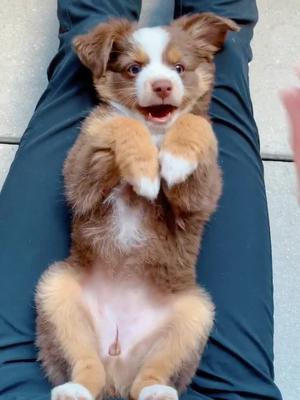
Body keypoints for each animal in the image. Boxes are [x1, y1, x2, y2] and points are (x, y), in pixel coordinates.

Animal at [34, 12, 237, 400]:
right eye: (133, 69)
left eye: (179, 67)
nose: (162, 86)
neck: (155, 132)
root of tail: (119, 364)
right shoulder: (79, 175)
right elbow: (119, 123)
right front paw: (144, 172)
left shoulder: (200, 199)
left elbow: (195, 123)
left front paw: (174, 159)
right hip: (55, 291)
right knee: (87, 366)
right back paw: (75, 390)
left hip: (195, 314)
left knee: (151, 374)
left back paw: (157, 392)